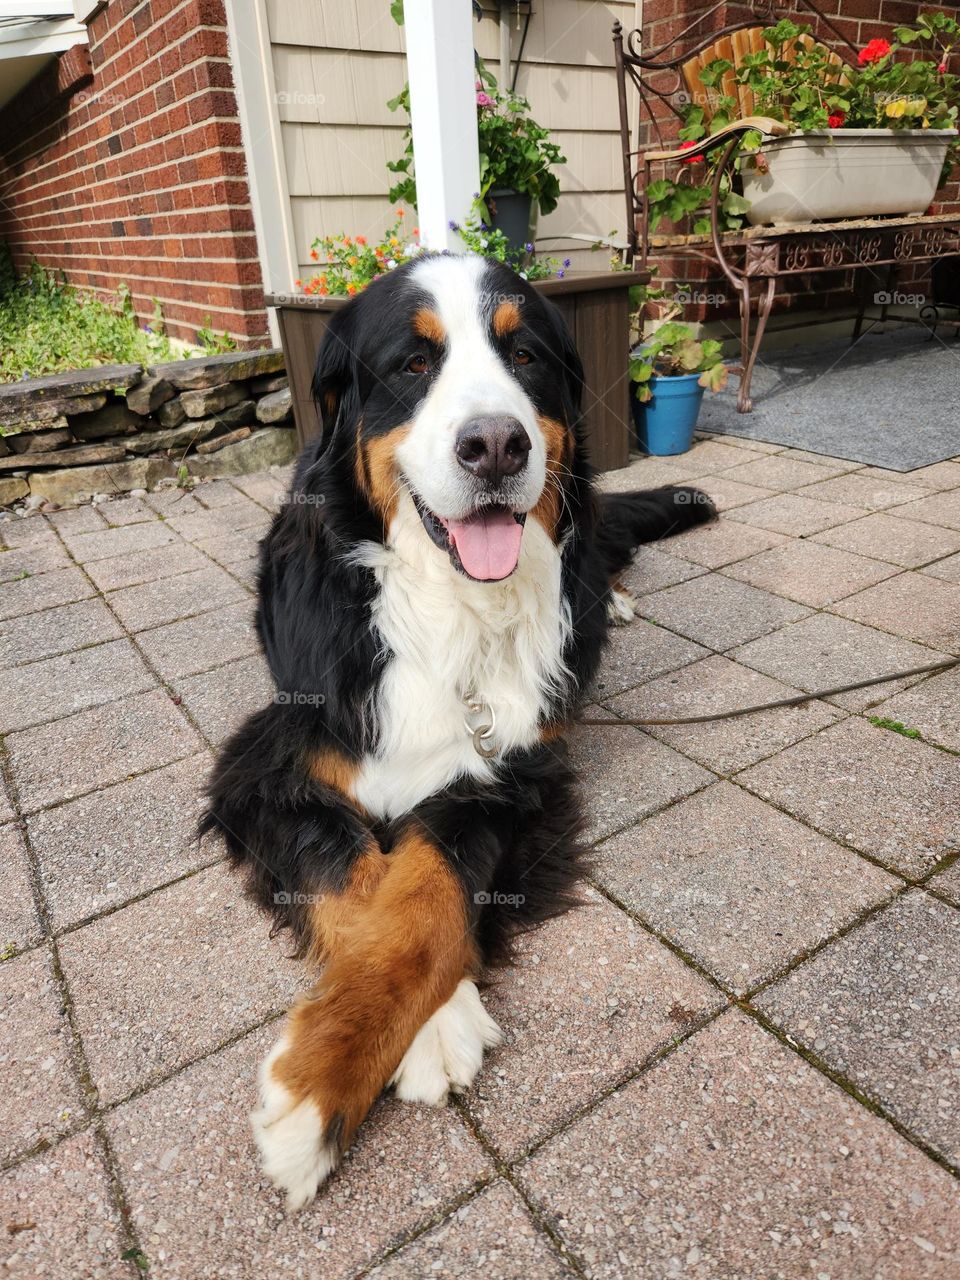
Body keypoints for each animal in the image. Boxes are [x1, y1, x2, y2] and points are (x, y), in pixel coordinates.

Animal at [200, 252, 716, 1208]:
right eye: (413, 364)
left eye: (525, 355)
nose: (497, 446)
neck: (452, 605)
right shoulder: (269, 764)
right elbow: (361, 882)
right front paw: (342, 1066)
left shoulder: (513, 769)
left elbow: (428, 894)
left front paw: (366, 1058)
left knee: (601, 549)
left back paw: (618, 600)